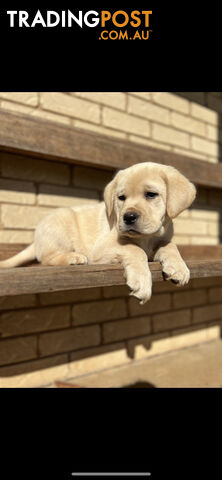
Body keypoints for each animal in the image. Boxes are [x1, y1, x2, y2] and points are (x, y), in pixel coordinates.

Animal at [0, 161, 195, 304]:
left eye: (151, 194)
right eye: (121, 198)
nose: (128, 217)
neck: (147, 238)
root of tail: (37, 240)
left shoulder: (161, 239)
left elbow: (170, 246)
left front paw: (179, 268)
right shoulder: (102, 247)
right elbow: (135, 249)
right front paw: (141, 282)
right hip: (60, 222)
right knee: (46, 258)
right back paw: (73, 257)